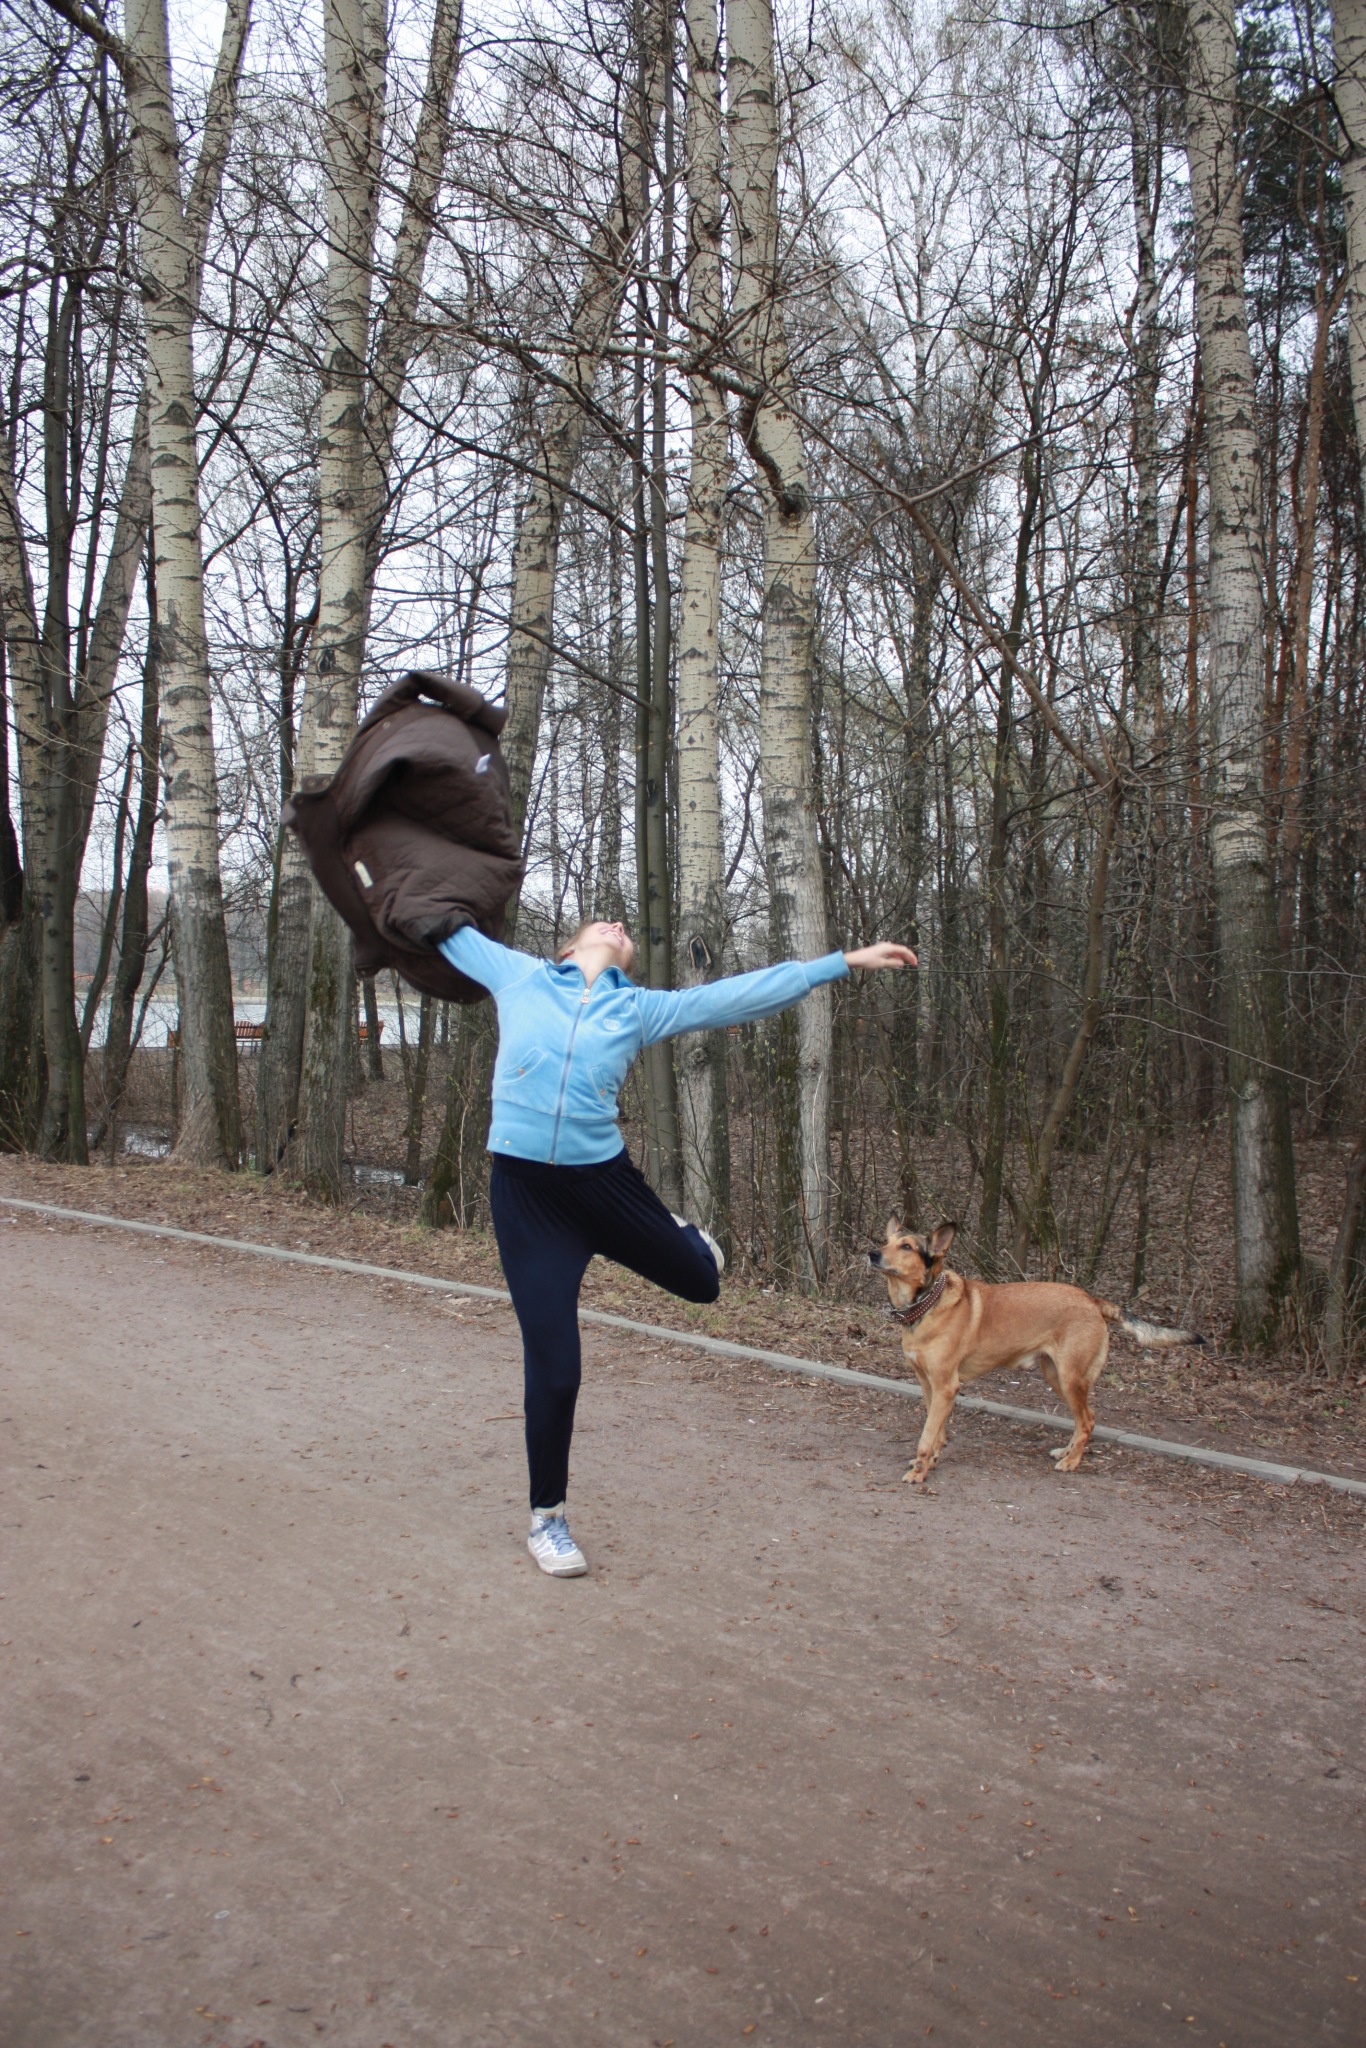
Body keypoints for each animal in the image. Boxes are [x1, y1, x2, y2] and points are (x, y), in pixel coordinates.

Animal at [869, 1219, 1204, 1482]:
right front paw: (930, 1462)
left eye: (907, 1247)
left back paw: (1071, 1462)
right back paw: (1067, 1451)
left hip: (1070, 1379)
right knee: (1085, 1419)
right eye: (888, 1241)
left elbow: (927, 1436)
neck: (925, 1305)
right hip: (1057, 1378)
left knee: (1087, 1421)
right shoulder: (929, 1386)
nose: (872, 1253)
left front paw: (920, 1471)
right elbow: (936, 1431)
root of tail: (1092, 1301)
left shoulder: (945, 1387)